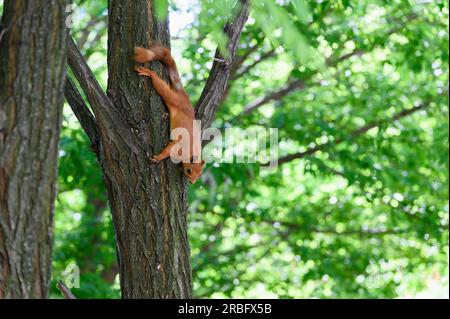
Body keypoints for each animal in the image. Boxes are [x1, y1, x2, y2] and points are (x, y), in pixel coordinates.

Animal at [133, 44, 205, 184]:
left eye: (200, 175)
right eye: (190, 171)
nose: (191, 182)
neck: (190, 152)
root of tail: (182, 94)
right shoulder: (179, 144)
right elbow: (169, 149)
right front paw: (158, 158)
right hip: (172, 99)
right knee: (163, 89)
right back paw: (150, 74)